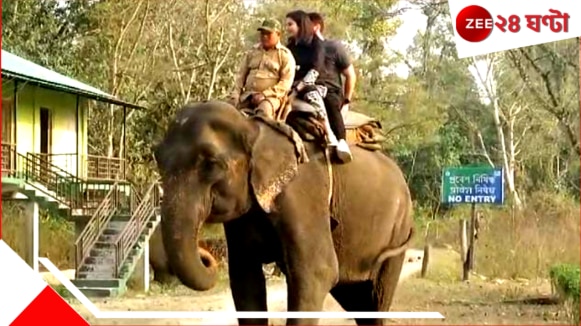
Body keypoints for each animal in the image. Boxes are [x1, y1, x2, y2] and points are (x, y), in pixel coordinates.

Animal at [154, 100, 414, 324]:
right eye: (158, 159)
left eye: (211, 164)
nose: (206, 256)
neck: (255, 127)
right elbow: (245, 278)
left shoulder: (302, 191)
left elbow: (318, 272)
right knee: (356, 301)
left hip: (397, 232)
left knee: (375, 301)